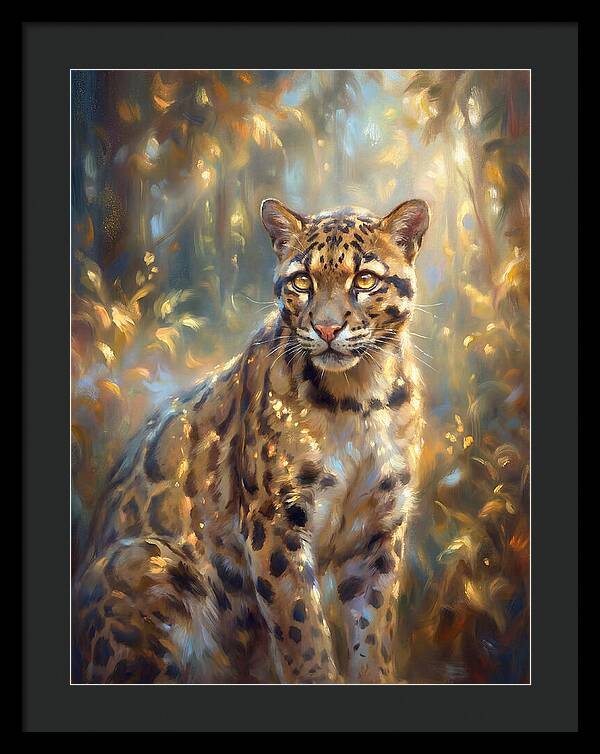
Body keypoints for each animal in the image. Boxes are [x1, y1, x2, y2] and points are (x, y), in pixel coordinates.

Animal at [73, 196, 430, 684]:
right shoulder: (275, 522)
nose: (327, 329)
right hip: (149, 562)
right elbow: (302, 631)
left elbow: (372, 631)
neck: (359, 400)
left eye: (365, 279)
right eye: (302, 281)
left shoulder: (379, 528)